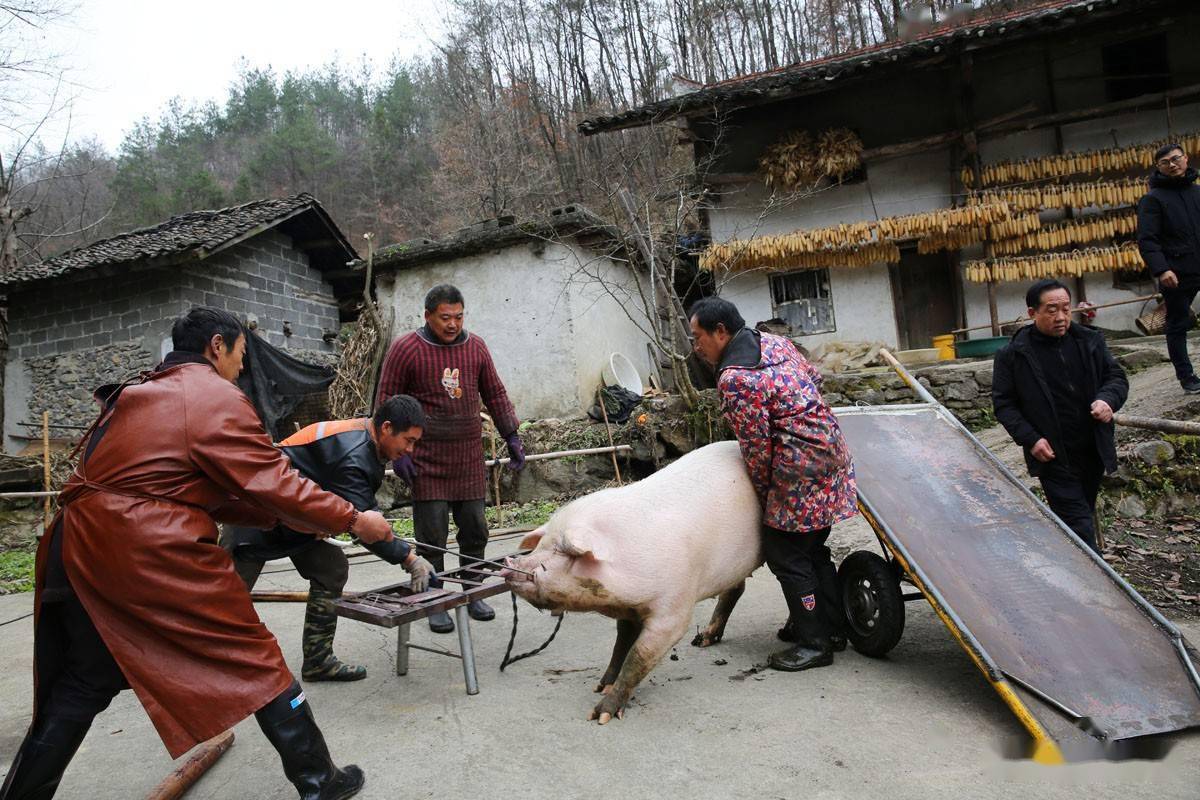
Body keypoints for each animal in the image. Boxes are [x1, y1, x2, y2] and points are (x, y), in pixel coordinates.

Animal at [501, 438, 763, 724]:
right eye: (542, 545)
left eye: (561, 551)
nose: (509, 564)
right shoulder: (629, 609)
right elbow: (621, 643)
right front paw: (601, 686)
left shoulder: (674, 608)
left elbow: (639, 655)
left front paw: (600, 715)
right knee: (736, 589)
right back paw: (703, 639)